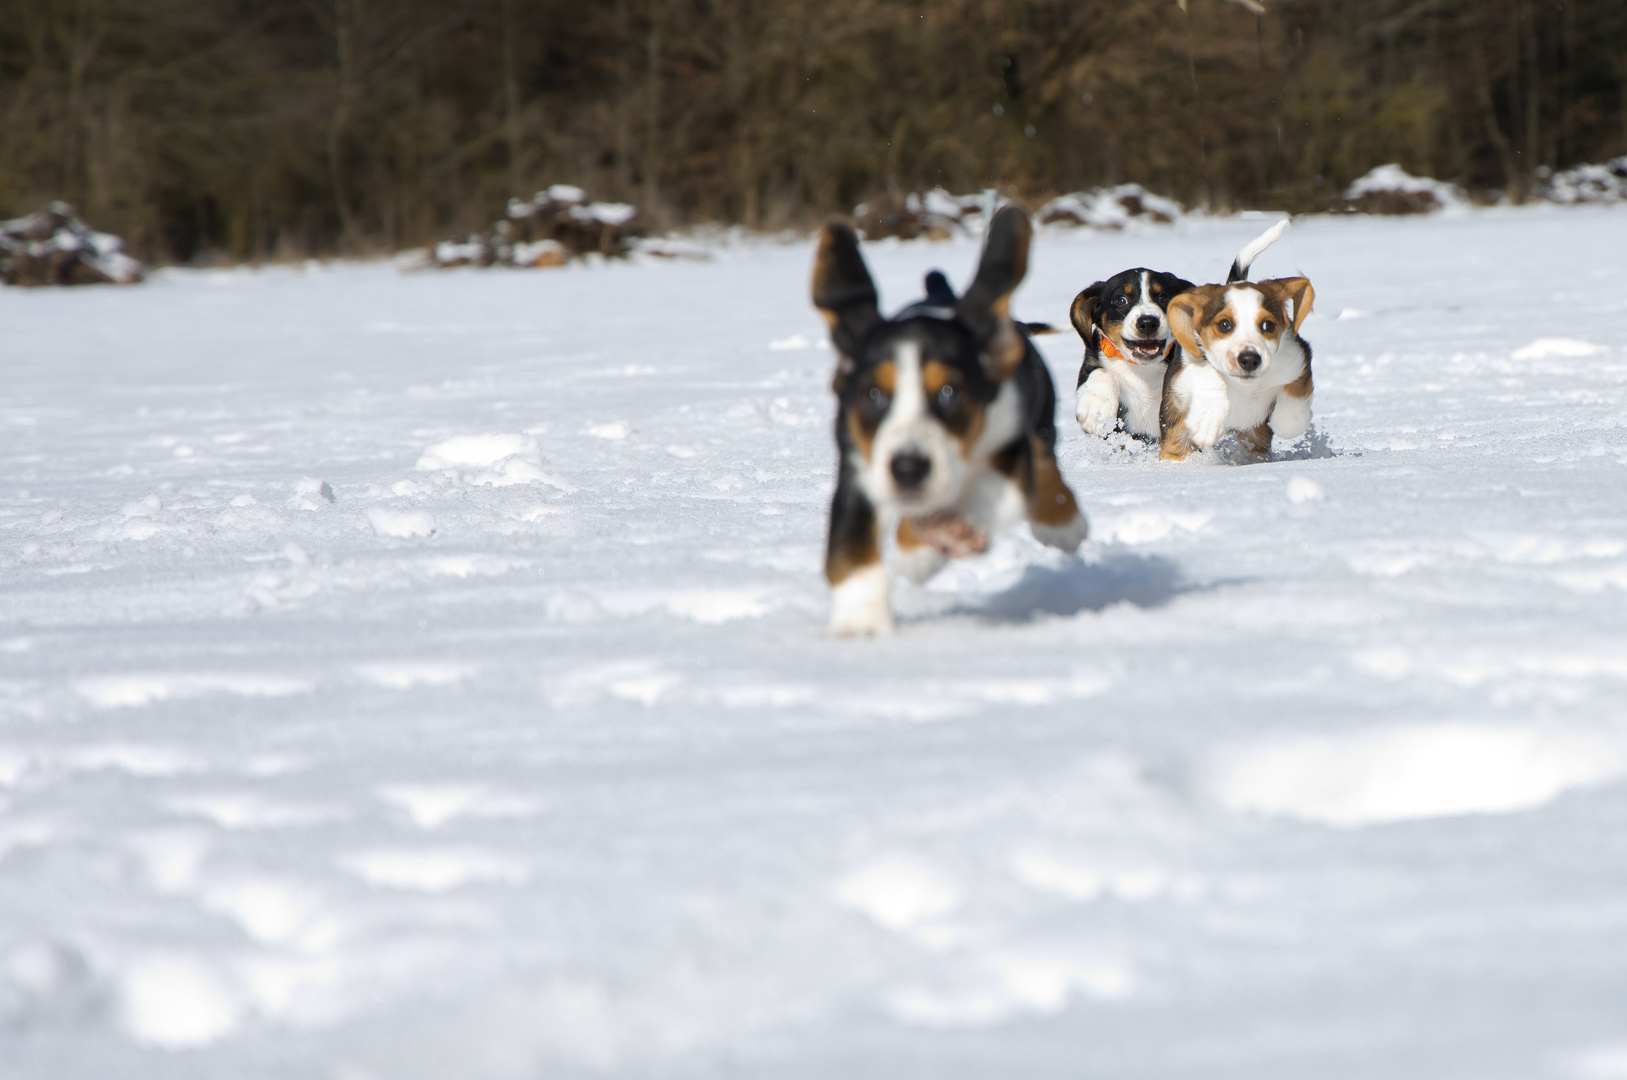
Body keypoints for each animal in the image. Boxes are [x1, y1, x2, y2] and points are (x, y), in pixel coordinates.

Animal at [813, 206, 1093, 637]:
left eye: (950, 393)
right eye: (872, 395)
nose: (908, 468)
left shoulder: (1009, 449)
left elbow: (991, 491)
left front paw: (938, 537)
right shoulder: (859, 466)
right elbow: (851, 547)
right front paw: (859, 626)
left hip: (1039, 417)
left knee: (1045, 462)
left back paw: (1061, 524)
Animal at [1164, 226, 1314, 461]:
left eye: (1268, 325)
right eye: (1224, 325)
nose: (1250, 359)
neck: (1245, 386)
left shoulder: (1297, 358)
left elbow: (1293, 410)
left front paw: (1285, 419)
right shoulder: (1182, 375)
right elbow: (1208, 372)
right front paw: (1207, 421)